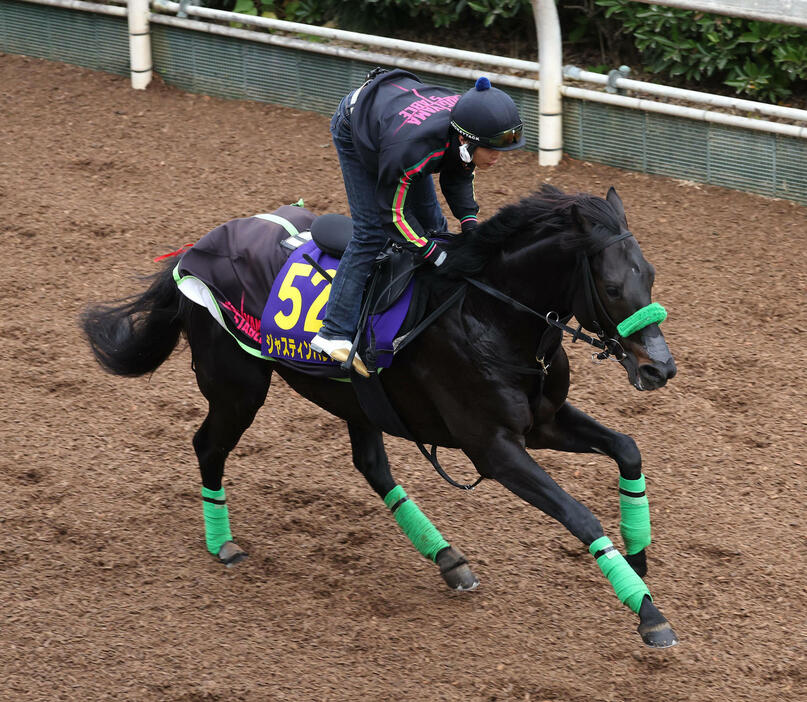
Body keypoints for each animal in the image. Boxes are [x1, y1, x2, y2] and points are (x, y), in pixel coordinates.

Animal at [79, 186, 680, 648]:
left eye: (650, 274)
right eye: (611, 287)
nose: (660, 367)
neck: (489, 315)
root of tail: (195, 249)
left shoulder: (543, 422)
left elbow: (627, 447)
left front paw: (639, 560)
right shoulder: (494, 448)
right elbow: (580, 516)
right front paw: (648, 613)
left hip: (354, 397)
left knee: (371, 465)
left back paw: (447, 558)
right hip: (238, 387)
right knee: (208, 446)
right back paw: (221, 542)